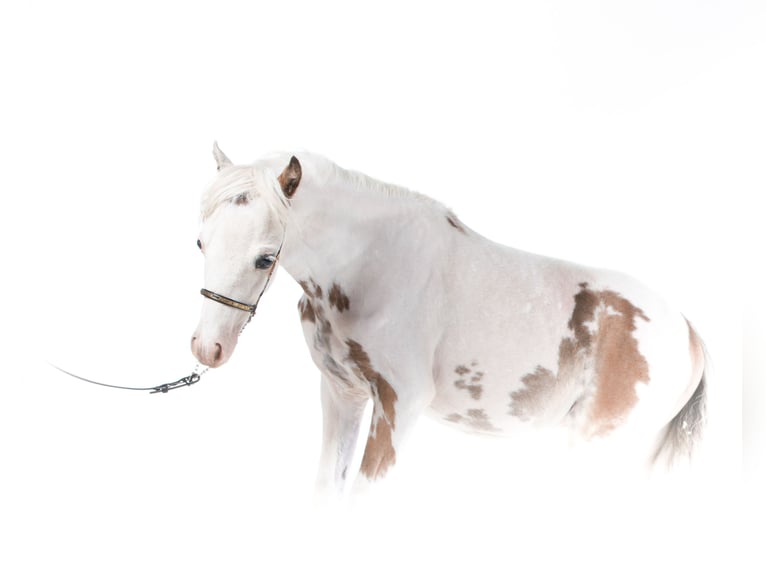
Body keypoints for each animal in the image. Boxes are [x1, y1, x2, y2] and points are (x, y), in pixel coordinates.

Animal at [192, 145, 708, 500]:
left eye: (264, 258)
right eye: (200, 242)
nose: (206, 349)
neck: (376, 268)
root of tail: (691, 336)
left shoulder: (399, 408)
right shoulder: (342, 394)